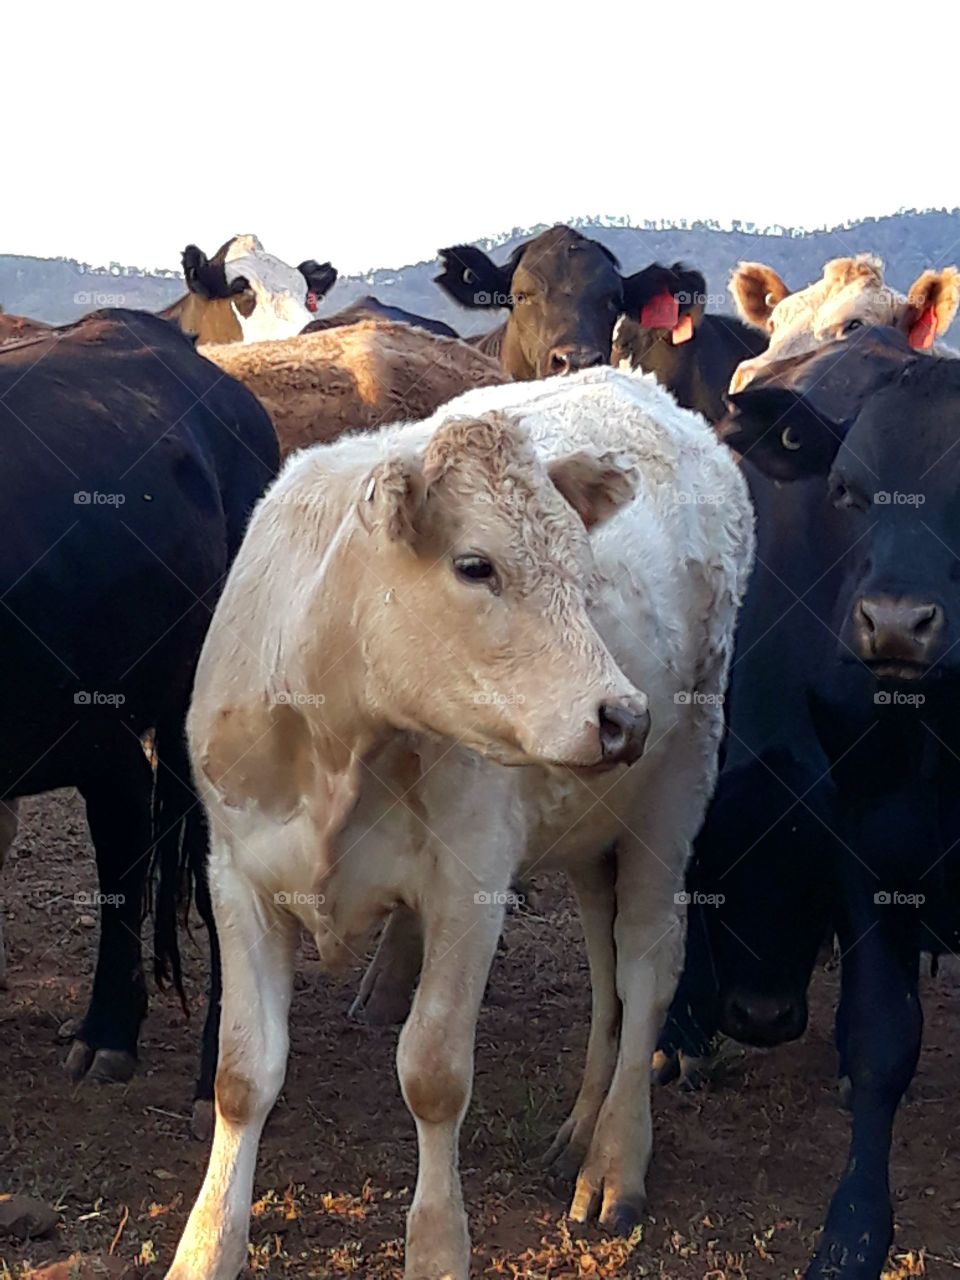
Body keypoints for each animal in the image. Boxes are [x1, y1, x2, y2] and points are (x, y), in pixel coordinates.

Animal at [164, 367, 753, 1280]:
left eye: (580, 568)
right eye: (476, 565)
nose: (622, 716)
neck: (336, 734)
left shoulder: (469, 883)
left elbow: (433, 1074)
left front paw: (437, 1247)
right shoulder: (238, 872)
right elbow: (242, 1076)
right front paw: (203, 1247)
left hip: (675, 787)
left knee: (648, 962)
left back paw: (615, 1158)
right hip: (589, 823)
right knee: (604, 959)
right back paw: (580, 1126)